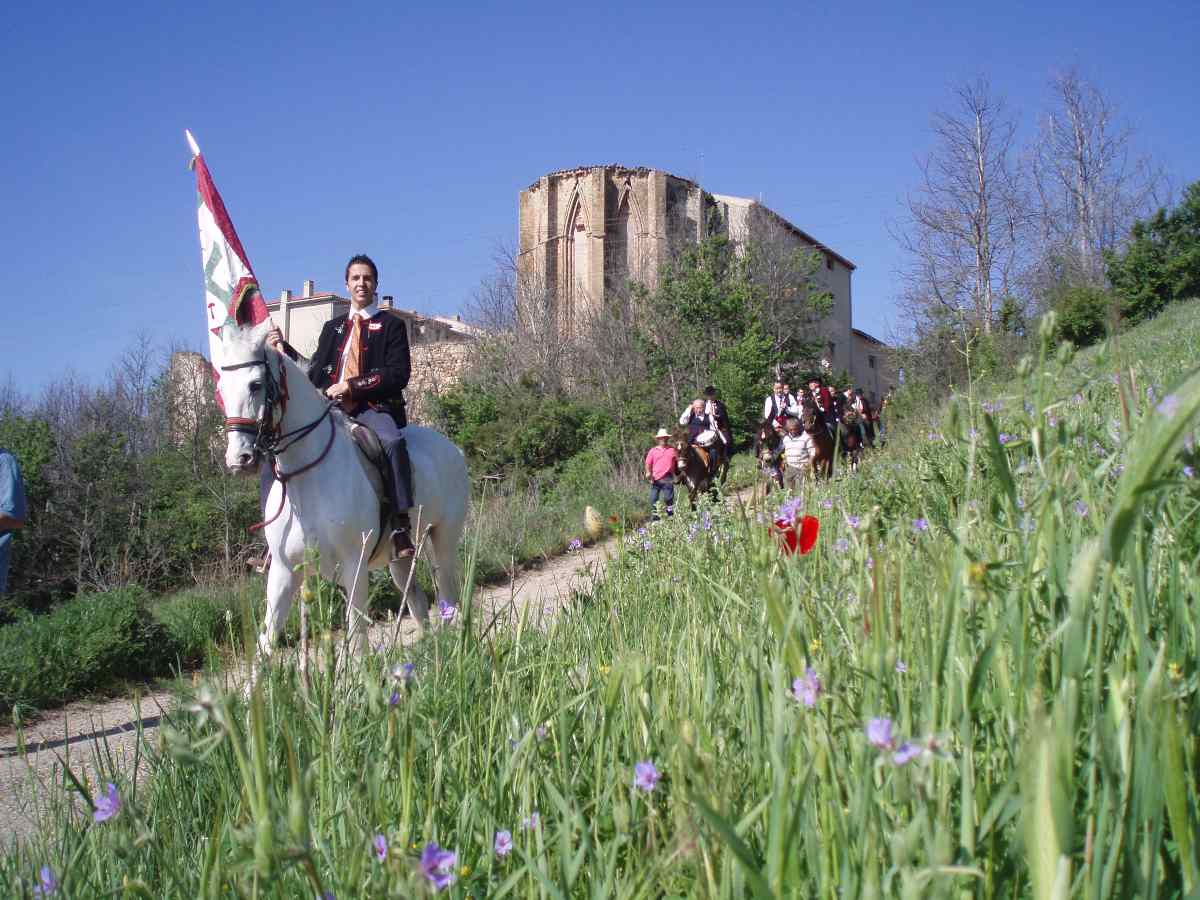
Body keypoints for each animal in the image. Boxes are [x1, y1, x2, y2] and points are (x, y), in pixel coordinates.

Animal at [217, 321, 468, 657]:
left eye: (255, 385)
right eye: (221, 388)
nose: (238, 459)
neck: (307, 478)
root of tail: (452, 449)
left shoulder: (354, 566)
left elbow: (357, 641)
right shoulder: (283, 571)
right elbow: (266, 644)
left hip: (443, 541)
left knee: (448, 597)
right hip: (400, 558)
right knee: (416, 599)